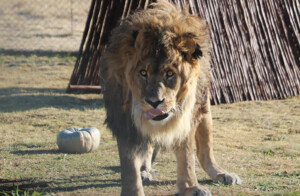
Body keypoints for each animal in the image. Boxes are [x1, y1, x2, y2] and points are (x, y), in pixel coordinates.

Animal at [100, 0, 241, 195]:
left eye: (169, 74)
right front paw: (133, 190)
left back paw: (221, 173)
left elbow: (187, 155)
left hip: (204, 108)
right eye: (143, 73)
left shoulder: (187, 116)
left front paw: (191, 187)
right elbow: (129, 163)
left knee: (205, 149)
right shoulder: (122, 118)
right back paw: (145, 171)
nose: (154, 102)